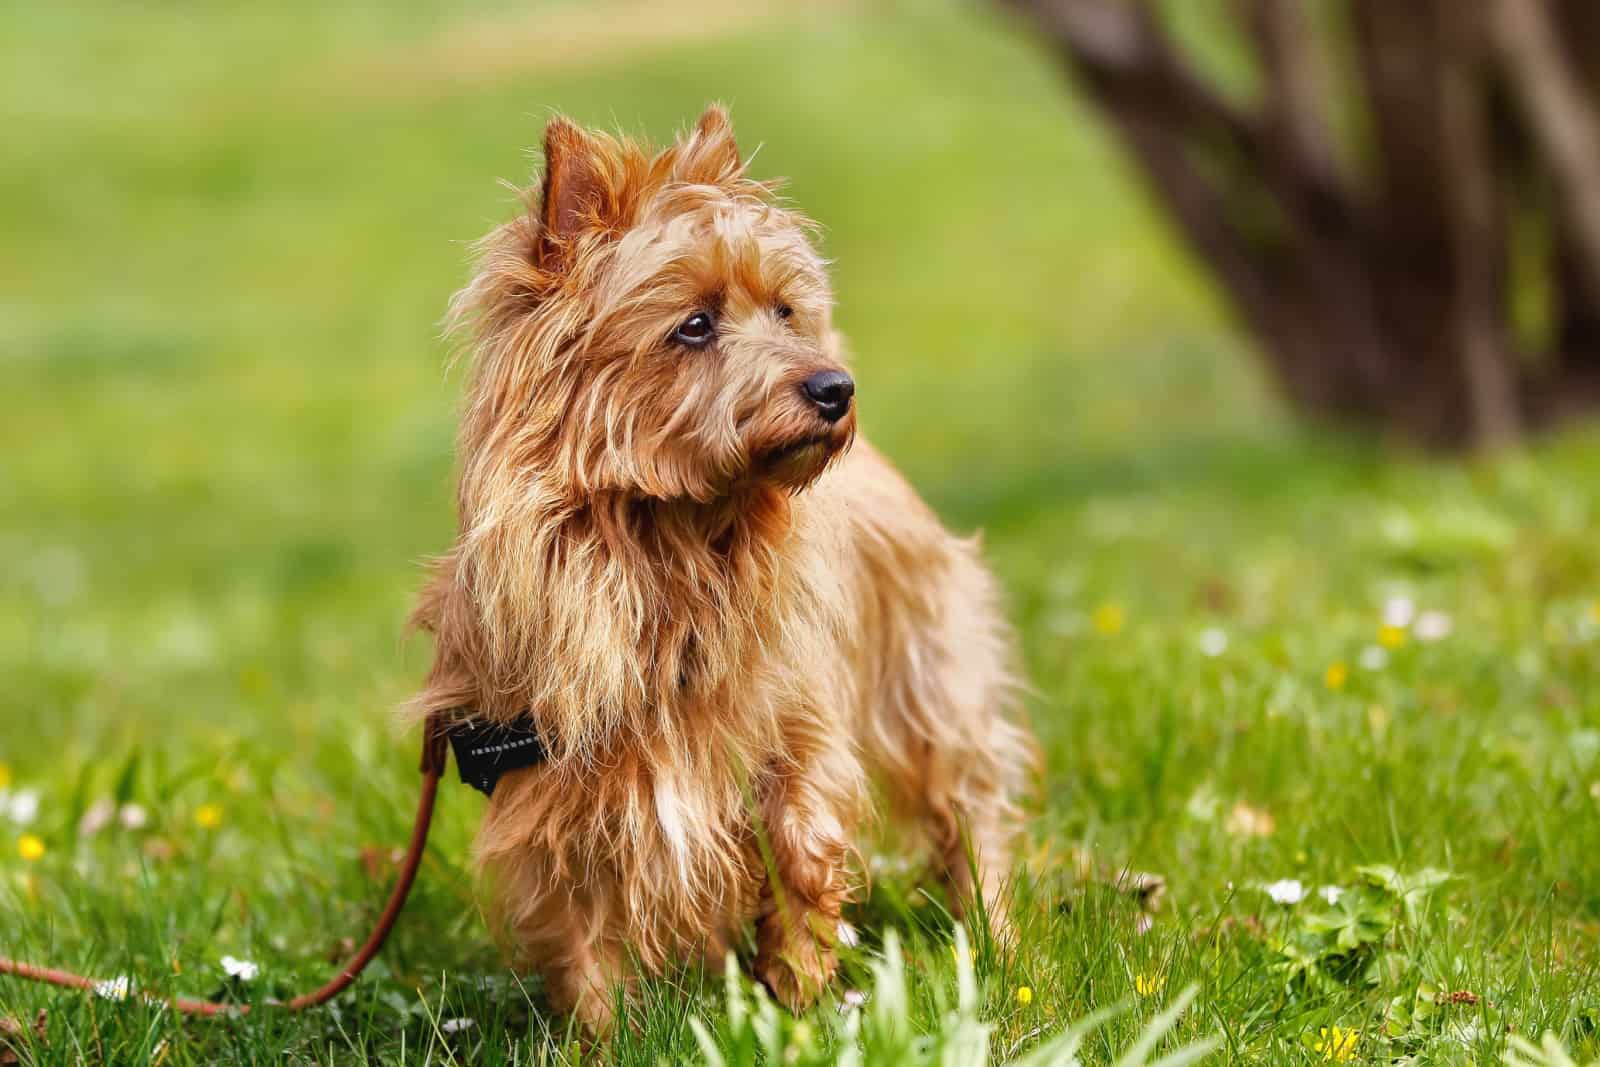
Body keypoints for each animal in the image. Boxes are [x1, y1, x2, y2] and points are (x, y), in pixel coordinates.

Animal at [409, 108, 1036, 1036]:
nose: (836, 387)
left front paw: (802, 1003)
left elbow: (802, 855)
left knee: (970, 807)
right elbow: (582, 931)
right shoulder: (556, 788)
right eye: (694, 325)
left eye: (784, 309)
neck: (670, 541)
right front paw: (607, 1038)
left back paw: (996, 940)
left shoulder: (797, 733)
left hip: (930, 677)